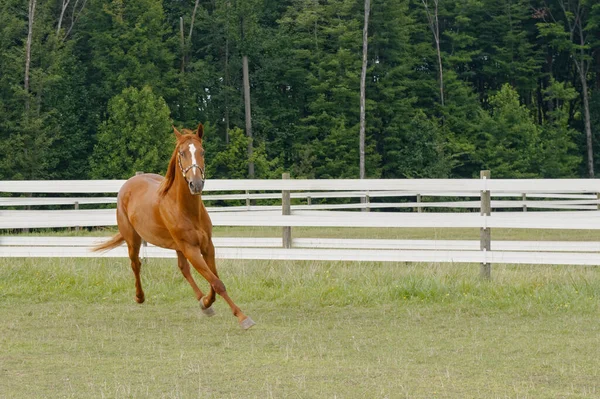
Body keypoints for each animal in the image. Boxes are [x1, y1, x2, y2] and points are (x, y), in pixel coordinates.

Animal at [92, 125, 254, 332]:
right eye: (182, 153)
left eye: (202, 152)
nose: (196, 184)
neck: (186, 209)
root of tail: (128, 184)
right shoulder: (191, 248)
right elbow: (217, 282)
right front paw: (243, 317)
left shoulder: (207, 246)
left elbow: (213, 278)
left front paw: (206, 302)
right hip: (134, 240)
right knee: (136, 264)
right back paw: (140, 297)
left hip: (177, 246)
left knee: (183, 269)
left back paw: (202, 302)